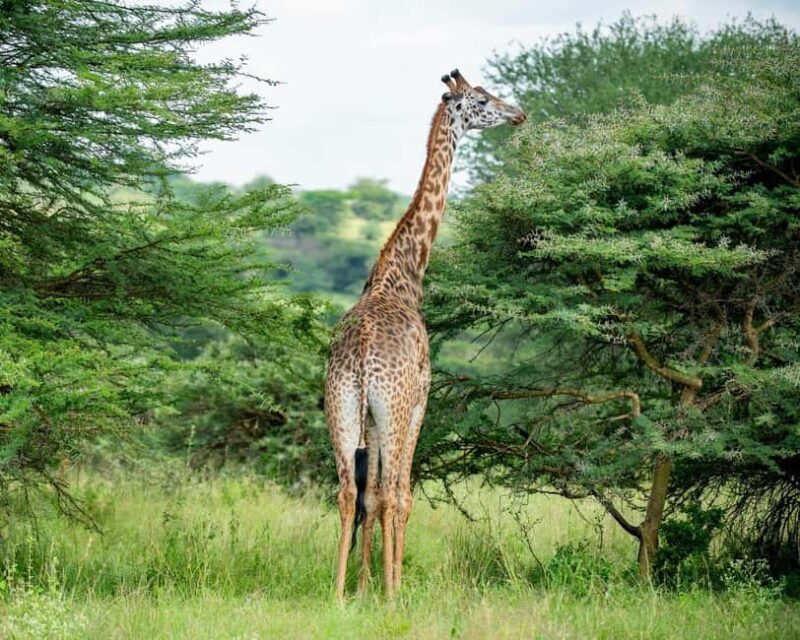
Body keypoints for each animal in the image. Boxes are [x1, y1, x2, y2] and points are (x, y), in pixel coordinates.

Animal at [325, 69, 525, 600]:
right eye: (482, 99)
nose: (519, 114)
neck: (405, 273)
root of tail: (361, 357)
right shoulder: (419, 402)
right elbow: (400, 496)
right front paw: (388, 587)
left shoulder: (373, 420)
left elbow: (372, 496)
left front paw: (364, 588)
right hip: (393, 410)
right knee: (395, 493)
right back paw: (392, 595)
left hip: (343, 408)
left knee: (348, 491)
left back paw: (336, 594)